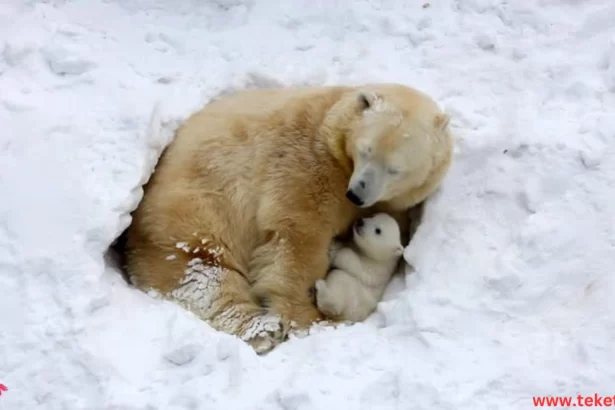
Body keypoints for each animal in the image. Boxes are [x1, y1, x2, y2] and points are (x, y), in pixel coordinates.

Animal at [124, 82, 452, 352]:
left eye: (396, 168)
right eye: (365, 150)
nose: (357, 194)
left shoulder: (391, 199)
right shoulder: (306, 161)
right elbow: (297, 238)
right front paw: (308, 318)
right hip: (193, 208)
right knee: (202, 272)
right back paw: (261, 329)